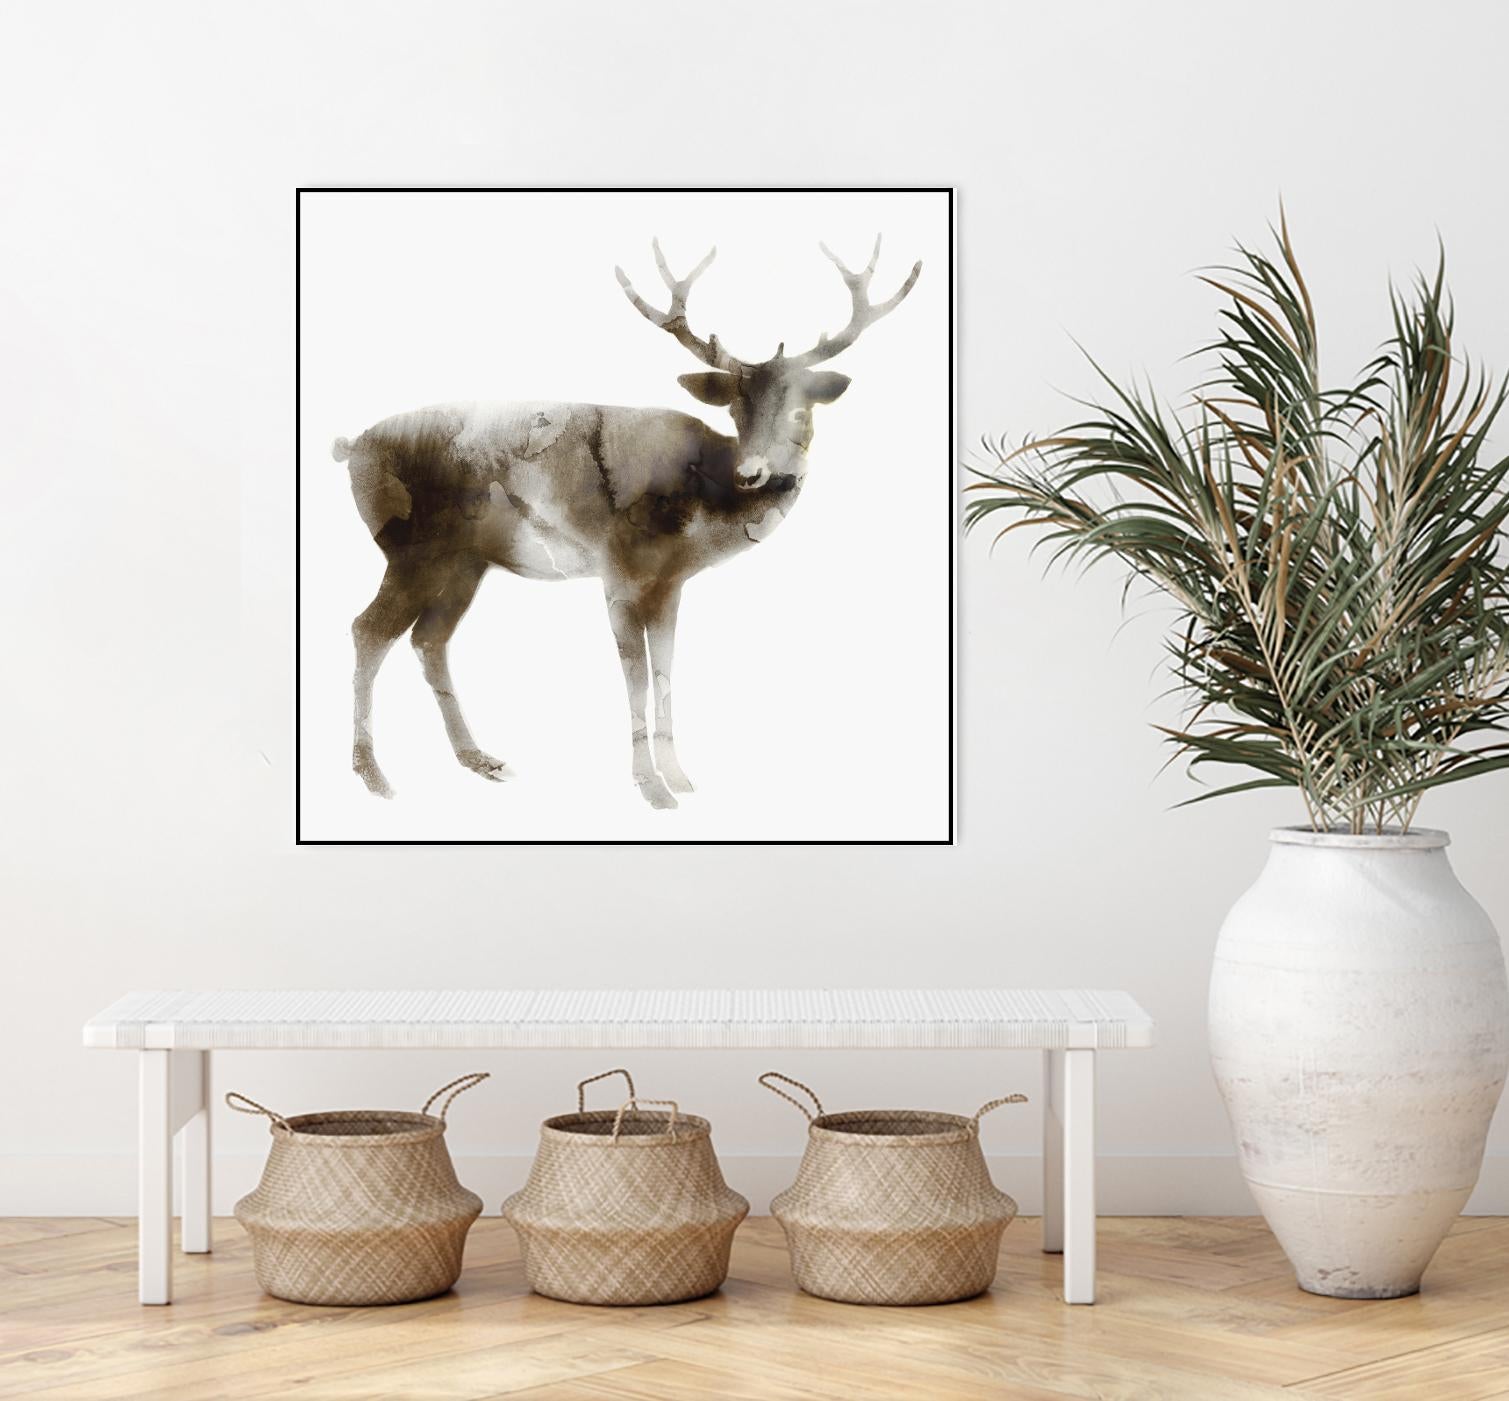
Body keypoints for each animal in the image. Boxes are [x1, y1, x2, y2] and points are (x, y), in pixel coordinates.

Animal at [332, 235, 922, 809]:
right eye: (735, 409)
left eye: (802, 409)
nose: (753, 472)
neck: (700, 512)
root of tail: (351, 447)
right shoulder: (618, 572)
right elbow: (635, 677)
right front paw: (651, 788)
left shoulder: (670, 585)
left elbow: (665, 671)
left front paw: (679, 777)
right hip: (411, 550)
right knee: (368, 629)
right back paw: (374, 776)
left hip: (465, 563)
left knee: (429, 640)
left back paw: (479, 758)